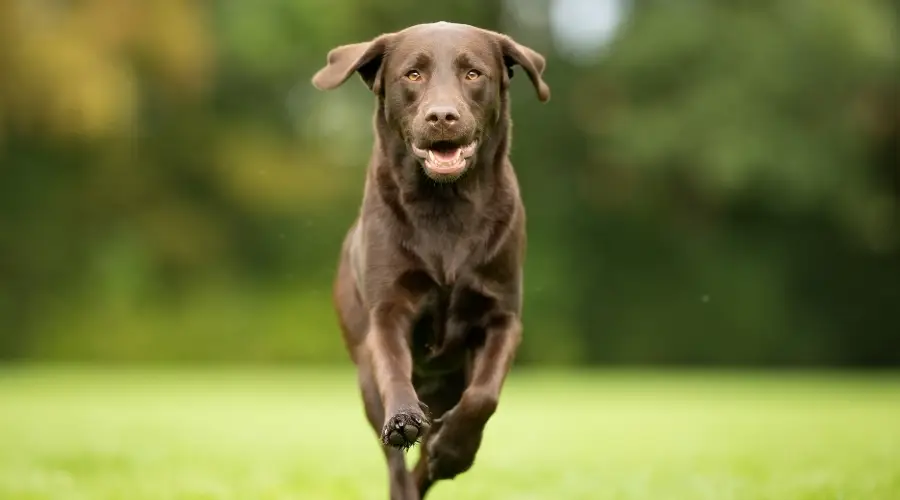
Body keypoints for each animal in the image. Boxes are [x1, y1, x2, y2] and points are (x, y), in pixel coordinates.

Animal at [310, 21, 548, 498]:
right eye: (412, 74)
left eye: (473, 74)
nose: (442, 116)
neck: (445, 207)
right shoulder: (388, 312)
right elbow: (395, 374)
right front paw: (405, 419)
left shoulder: (501, 317)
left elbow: (483, 396)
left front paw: (453, 450)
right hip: (364, 375)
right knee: (396, 465)